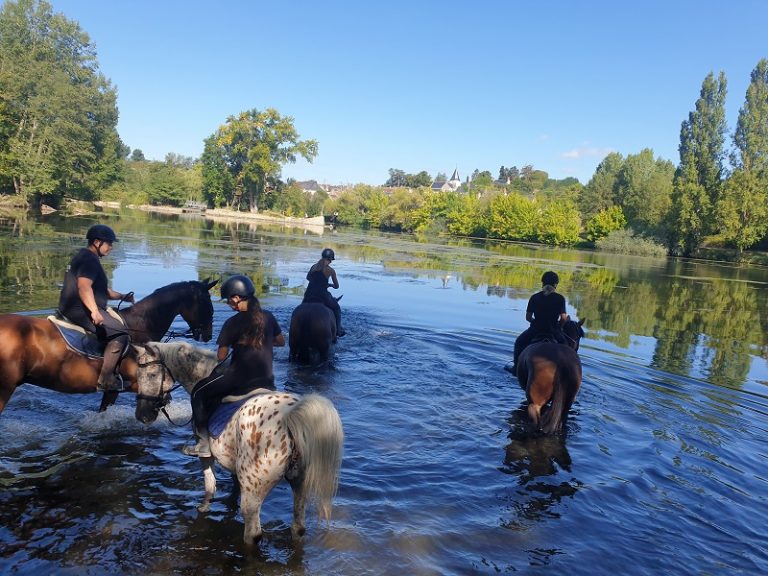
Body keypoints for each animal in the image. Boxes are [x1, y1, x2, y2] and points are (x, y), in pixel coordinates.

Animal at [134, 340, 344, 548]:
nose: (142, 416)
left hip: (253, 491)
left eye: (152, 374)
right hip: (299, 484)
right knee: (298, 528)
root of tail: (290, 416)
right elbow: (232, 489)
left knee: (253, 534)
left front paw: (202, 508)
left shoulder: (206, 456)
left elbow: (209, 486)